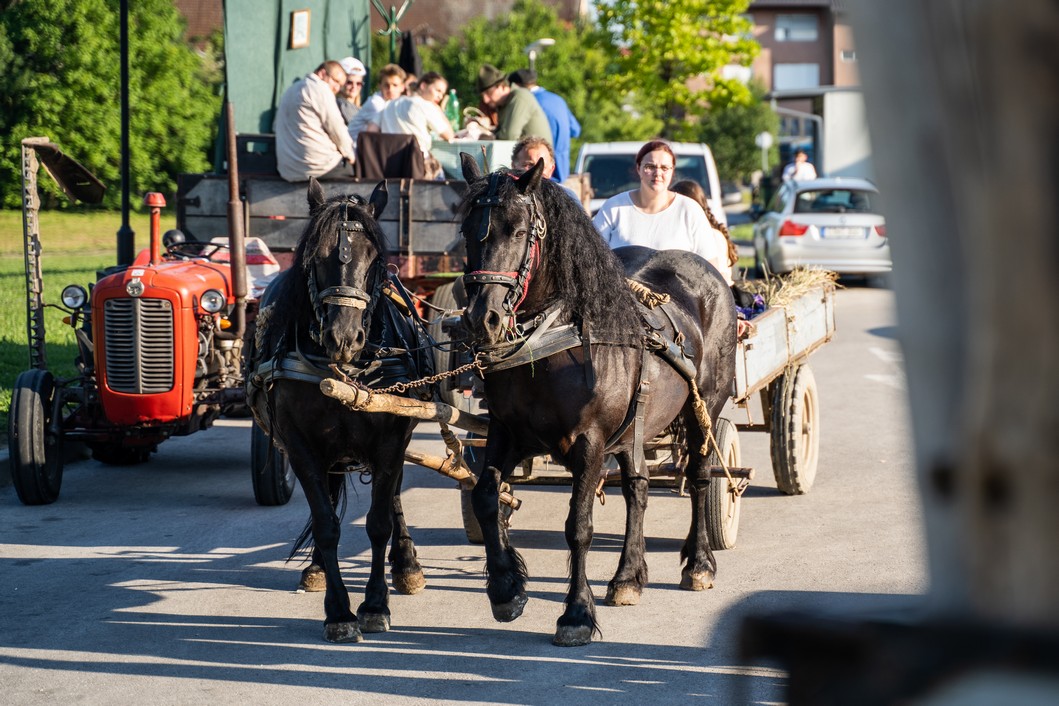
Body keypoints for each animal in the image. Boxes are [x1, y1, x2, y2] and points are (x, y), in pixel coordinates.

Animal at [245, 179, 432, 643]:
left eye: (377, 259)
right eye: (314, 256)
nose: (343, 337)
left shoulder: (391, 441)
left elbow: (379, 521)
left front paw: (375, 605)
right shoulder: (300, 446)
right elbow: (326, 523)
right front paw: (339, 611)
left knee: (393, 497)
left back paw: (407, 565)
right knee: (327, 505)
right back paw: (316, 568)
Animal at [455, 154, 737, 647]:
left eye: (518, 231)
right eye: (468, 230)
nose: (480, 319)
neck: (552, 342)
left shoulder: (589, 443)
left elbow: (579, 528)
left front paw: (575, 614)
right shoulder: (508, 433)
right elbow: (487, 497)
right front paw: (506, 588)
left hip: (705, 406)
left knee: (701, 475)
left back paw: (699, 563)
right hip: (633, 428)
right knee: (637, 487)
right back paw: (628, 577)